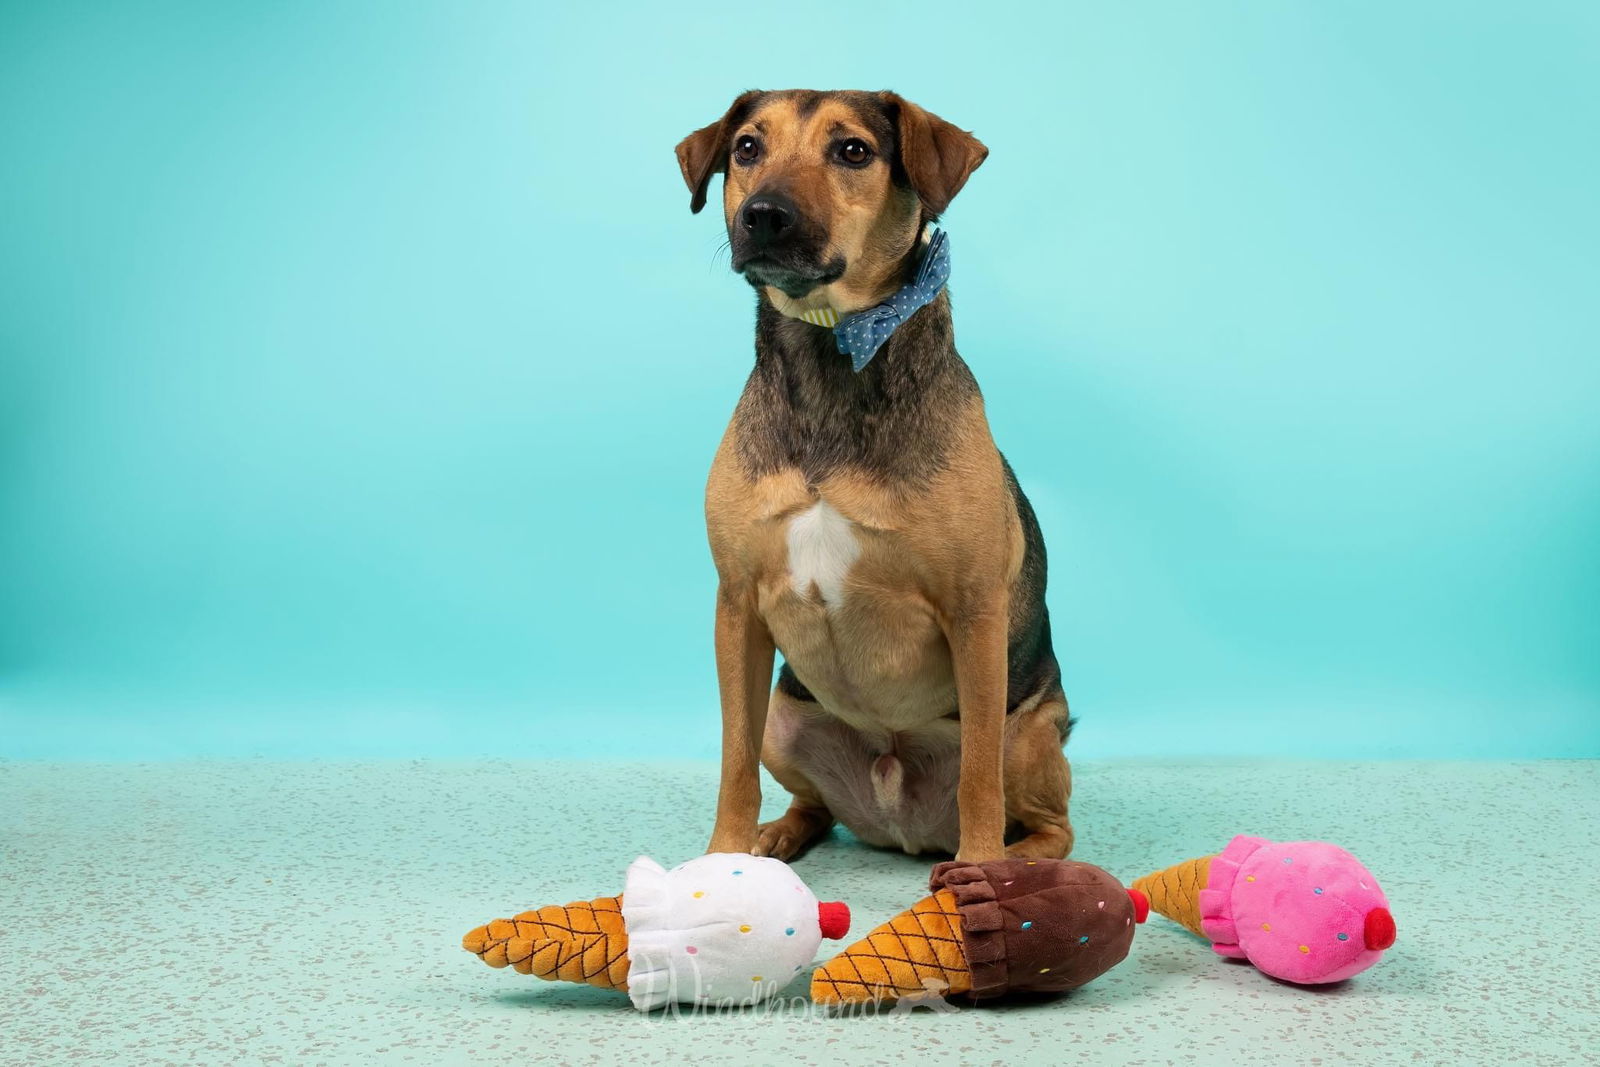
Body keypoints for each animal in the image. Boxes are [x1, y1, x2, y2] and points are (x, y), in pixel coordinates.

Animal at [675, 87, 1075, 863]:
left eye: (853, 150)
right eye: (746, 147)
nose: (762, 215)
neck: (831, 349)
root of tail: (901, 825)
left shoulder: (975, 613)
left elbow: (978, 777)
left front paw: (979, 876)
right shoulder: (736, 607)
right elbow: (733, 761)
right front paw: (725, 856)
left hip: (1034, 735)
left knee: (1049, 822)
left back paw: (1015, 862)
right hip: (784, 718)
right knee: (812, 804)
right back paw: (778, 835)